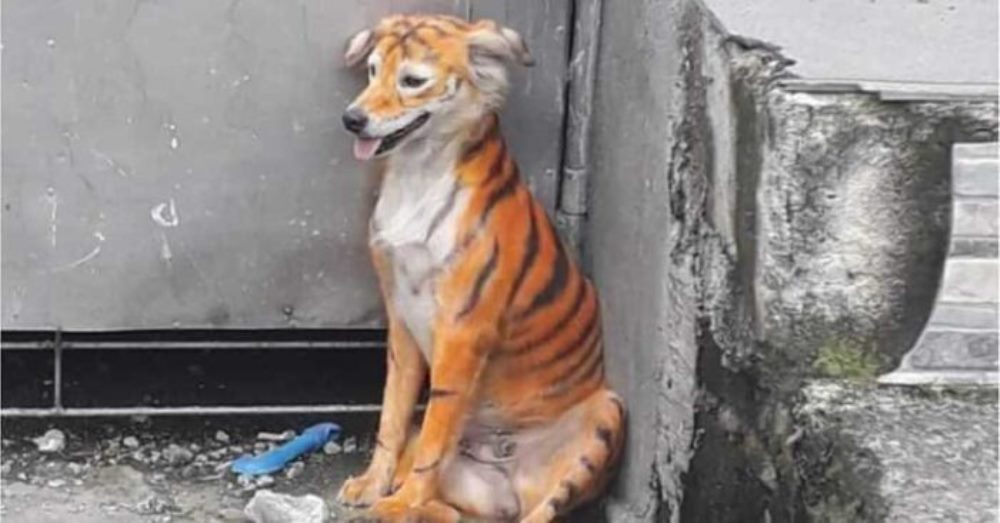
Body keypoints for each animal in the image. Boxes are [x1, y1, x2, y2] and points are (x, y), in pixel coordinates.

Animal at [335, 14, 626, 523]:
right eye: (371, 70)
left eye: (412, 81)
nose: (352, 119)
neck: (417, 173)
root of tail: (510, 473)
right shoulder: (400, 318)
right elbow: (393, 414)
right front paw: (374, 486)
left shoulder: (462, 330)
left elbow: (436, 432)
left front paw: (400, 502)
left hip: (609, 414)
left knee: (543, 510)